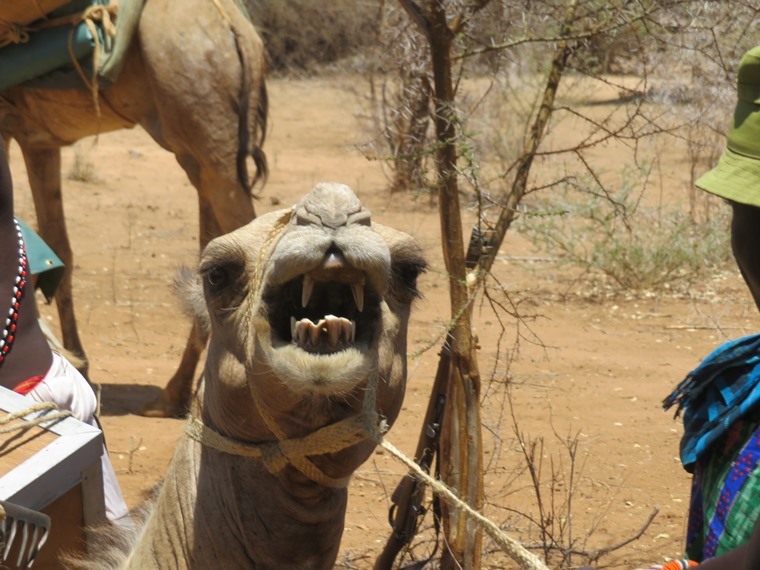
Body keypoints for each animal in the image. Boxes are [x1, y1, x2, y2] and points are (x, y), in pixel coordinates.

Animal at [0, 0, 268, 418]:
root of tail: (238, 30)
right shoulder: (38, 140)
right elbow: (57, 248)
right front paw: (76, 363)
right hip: (198, 150)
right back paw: (172, 396)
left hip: (210, 136)